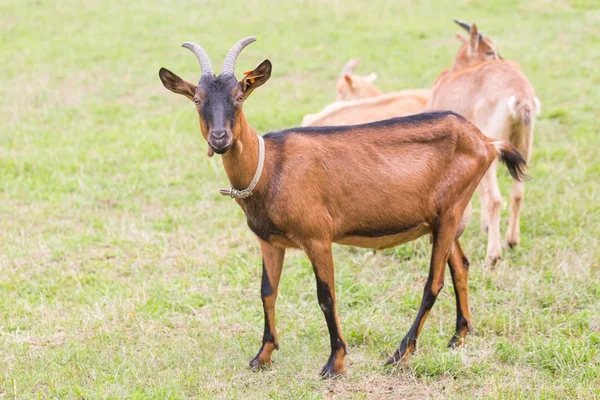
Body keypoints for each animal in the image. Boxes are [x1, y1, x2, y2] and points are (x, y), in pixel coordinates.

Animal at [158, 37, 524, 378]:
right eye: (197, 99)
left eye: (239, 95)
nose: (220, 138)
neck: (271, 167)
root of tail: (485, 140)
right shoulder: (269, 241)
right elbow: (267, 292)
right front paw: (262, 356)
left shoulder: (318, 237)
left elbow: (326, 296)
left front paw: (335, 362)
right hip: (442, 218)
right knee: (460, 265)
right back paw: (458, 336)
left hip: (451, 211)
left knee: (433, 284)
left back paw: (399, 354)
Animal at [426, 21, 540, 266]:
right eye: (490, 50)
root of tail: (520, 95)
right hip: (523, 149)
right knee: (517, 194)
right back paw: (511, 241)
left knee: (495, 199)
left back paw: (493, 255)